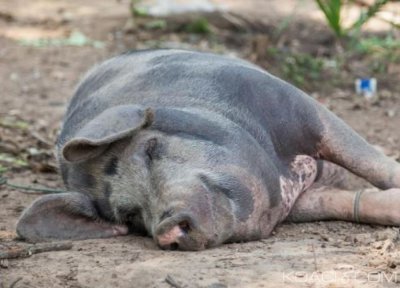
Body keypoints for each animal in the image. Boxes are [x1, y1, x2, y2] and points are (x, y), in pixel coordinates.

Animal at [15, 49, 400, 250]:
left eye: (151, 149)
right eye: (130, 215)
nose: (167, 228)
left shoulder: (299, 107)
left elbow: (368, 160)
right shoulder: (300, 201)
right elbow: (347, 203)